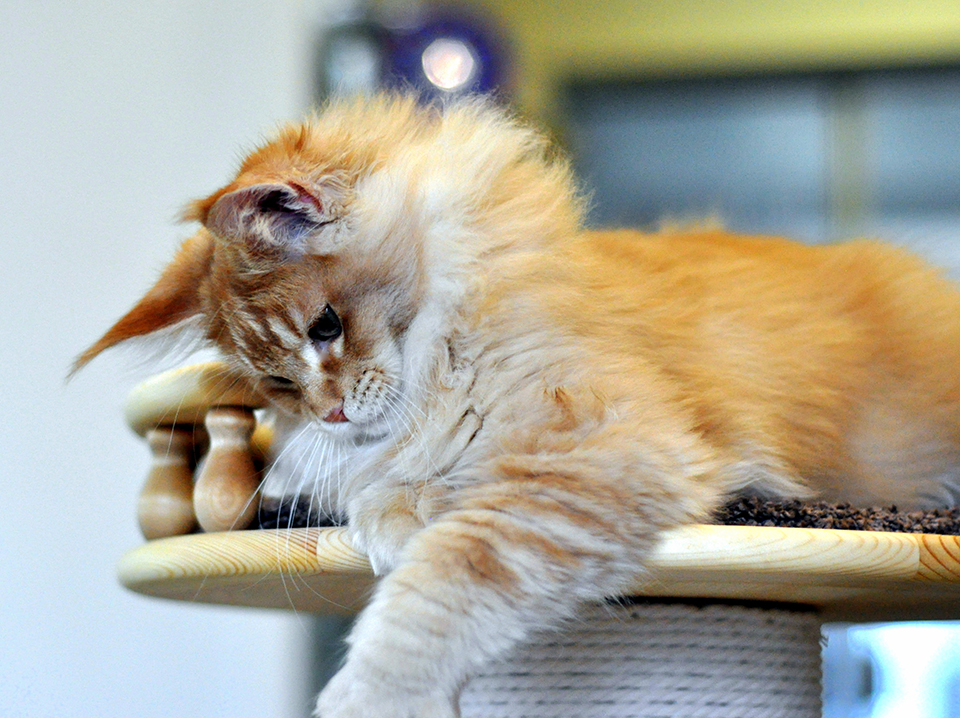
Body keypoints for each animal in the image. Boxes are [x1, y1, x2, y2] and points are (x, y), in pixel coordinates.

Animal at [79, 95, 960, 718]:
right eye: (278, 386)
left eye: (326, 326)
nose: (328, 413)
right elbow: (410, 487)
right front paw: (396, 510)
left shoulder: (605, 445)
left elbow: (451, 569)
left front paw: (377, 693)